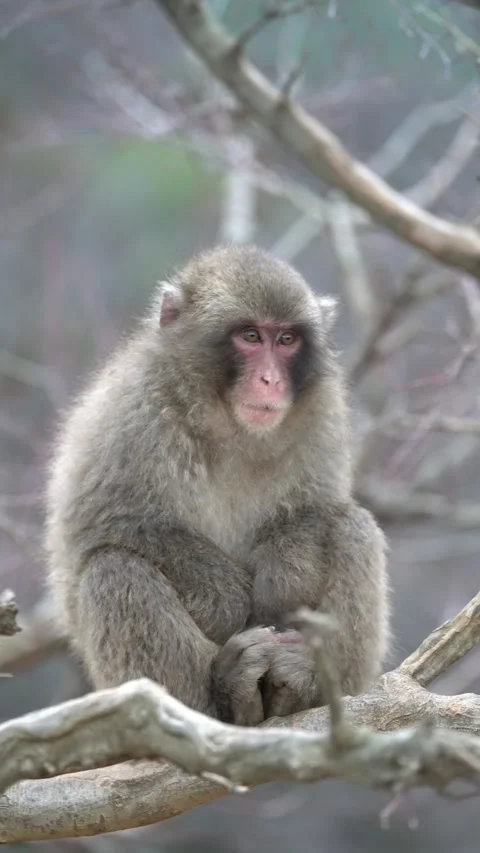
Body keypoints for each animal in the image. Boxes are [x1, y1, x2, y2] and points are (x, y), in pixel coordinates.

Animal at [44, 245, 390, 726]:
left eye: (286, 340)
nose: (270, 380)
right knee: (112, 569)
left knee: (352, 526)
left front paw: (284, 576)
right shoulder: (132, 411)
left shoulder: (322, 415)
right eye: (250, 336)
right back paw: (224, 695)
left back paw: (302, 686)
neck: (227, 422)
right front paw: (226, 597)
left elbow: (317, 510)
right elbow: (101, 528)